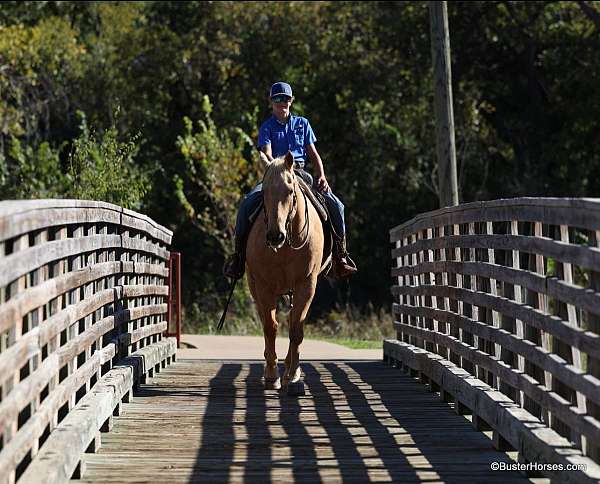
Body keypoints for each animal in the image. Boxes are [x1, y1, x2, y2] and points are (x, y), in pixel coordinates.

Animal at [246, 152, 326, 398]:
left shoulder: (306, 284)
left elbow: (296, 329)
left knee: (293, 322)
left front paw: (292, 376)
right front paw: (272, 376)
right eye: (264, 192)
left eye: (290, 191)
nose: (274, 236)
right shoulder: (264, 286)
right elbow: (270, 327)